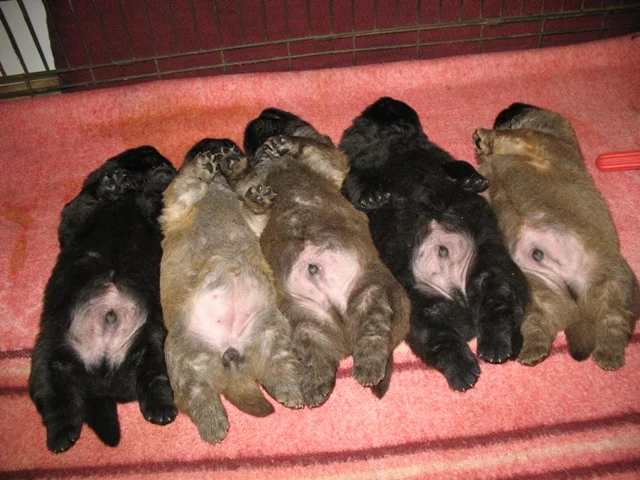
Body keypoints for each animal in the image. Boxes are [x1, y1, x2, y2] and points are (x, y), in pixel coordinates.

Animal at [29, 146, 178, 453]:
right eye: (151, 157)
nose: (168, 167)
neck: (129, 195)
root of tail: (102, 379)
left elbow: (155, 205)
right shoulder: (77, 213)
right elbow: (86, 200)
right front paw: (112, 182)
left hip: (153, 343)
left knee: (152, 379)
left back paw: (160, 409)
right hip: (46, 357)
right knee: (56, 400)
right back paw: (61, 436)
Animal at [159, 139, 303, 444]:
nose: (226, 149)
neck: (218, 190)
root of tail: (229, 350)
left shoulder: (251, 220)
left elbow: (253, 210)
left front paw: (258, 197)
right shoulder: (179, 199)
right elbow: (186, 179)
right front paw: (203, 164)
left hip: (271, 330)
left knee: (278, 367)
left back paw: (291, 391)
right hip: (183, 357)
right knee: (197, 395)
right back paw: (213, 424)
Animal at [340, 97, 530, 391]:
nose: (387, 100)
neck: (394, 140)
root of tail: (461, 299)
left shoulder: (439, 155)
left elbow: (457, 164)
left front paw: (473, 179)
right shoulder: (360, 167)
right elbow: (356, 181)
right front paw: (372, 197)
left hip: (491, 267)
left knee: (497, 308)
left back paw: (493, 347)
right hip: (421, 312)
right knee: (443, 341)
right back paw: (465, 370)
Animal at [473, 102, 639, 369]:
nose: (508, 107)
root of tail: (577, 304)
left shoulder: (533, 141)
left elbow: (511, 138)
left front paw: (484, 137)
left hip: (613, 282)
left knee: (614, 324)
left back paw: (608, 355)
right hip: (537, 293)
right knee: (539, 327)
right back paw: (532, 352)